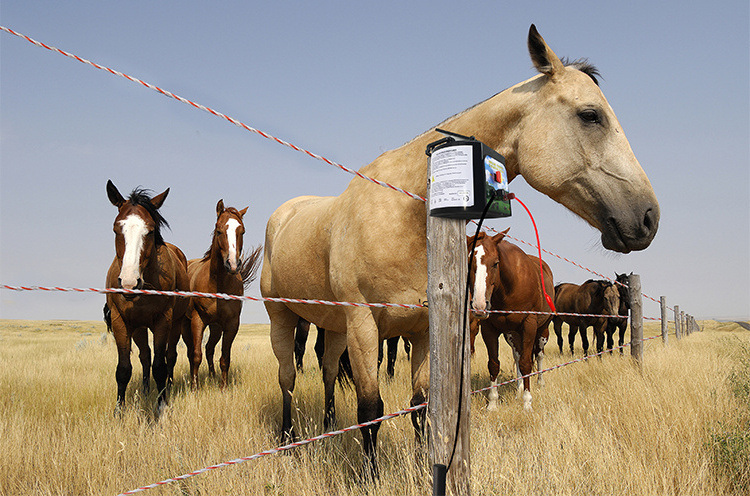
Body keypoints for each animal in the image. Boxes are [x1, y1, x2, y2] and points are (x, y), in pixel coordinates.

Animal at [184, 200, 262, 390]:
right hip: (185, 326)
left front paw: (223, 387)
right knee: (192, 352)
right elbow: (196, 355)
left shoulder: (231, 324)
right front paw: (194, 388)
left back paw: (212, 376)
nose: (232, 265)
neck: (217, 284)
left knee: (209, 349)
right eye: (219, 230)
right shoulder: (198, 320)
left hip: (216, 328)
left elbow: (225, 357)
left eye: (242, 231)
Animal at [470, 229, 560, 410]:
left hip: (542, 330)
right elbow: (494, 364)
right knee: (517, 356)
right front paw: (492, 404)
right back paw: (518, 389)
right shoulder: (489, 328)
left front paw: (527, 403)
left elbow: (527, 363)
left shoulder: (529, 325)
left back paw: (540, 383)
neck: (508, 289)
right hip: (512, 334)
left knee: (539, 355)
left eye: (496, 263)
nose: (480, 305)